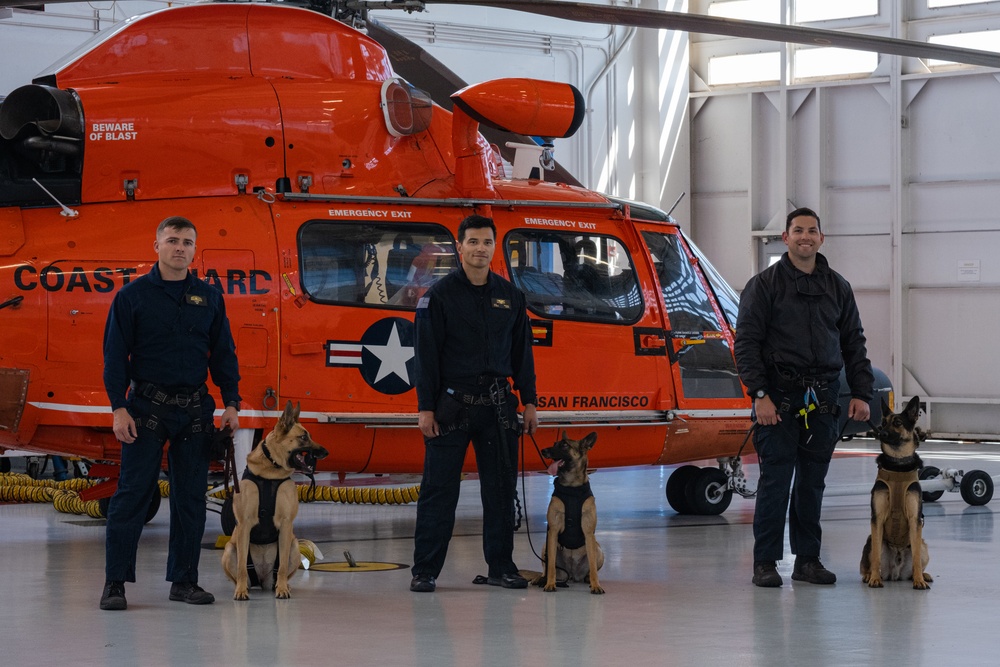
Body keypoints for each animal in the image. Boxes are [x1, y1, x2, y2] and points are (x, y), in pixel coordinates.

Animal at [223, 402, 328, 600]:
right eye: (303, 437)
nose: (326, 452)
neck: (271, 471)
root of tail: (262, 580)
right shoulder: (244, 525)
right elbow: (241, 567)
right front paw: (240, 591)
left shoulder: (286, 524)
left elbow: (282, 567)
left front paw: (283, 589)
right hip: (229, 549)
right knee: (242, 569)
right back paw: (244, 586)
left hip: (294, 546)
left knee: (280, 570)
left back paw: (282, 585)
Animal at [536, 434, 604, 596]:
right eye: (554, 443)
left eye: (564, 445)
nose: (543, 451)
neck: (572, 487)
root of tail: (572, 574)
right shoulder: (553, 531)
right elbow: (551, 566)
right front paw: (550, 584)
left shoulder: (589, 534)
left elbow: (593, 566)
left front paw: (596, 585)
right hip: (545, 546)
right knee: (546, 568)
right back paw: (542, 579)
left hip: (599, 549)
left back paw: (587, 579)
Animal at [856, 396, 932, 588]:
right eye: (883, 423)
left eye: (897, 422)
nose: (881, 433)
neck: (898, 464)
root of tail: (895, 573)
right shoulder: (877, 519)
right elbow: (875, 557)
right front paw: (874, 579)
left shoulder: (914, 520)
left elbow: (916, 560)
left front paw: (919, 581)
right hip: (871, 540)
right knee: (868, 563)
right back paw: (870, 575)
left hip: (922, 545)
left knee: (916, 560)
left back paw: (922, 575)